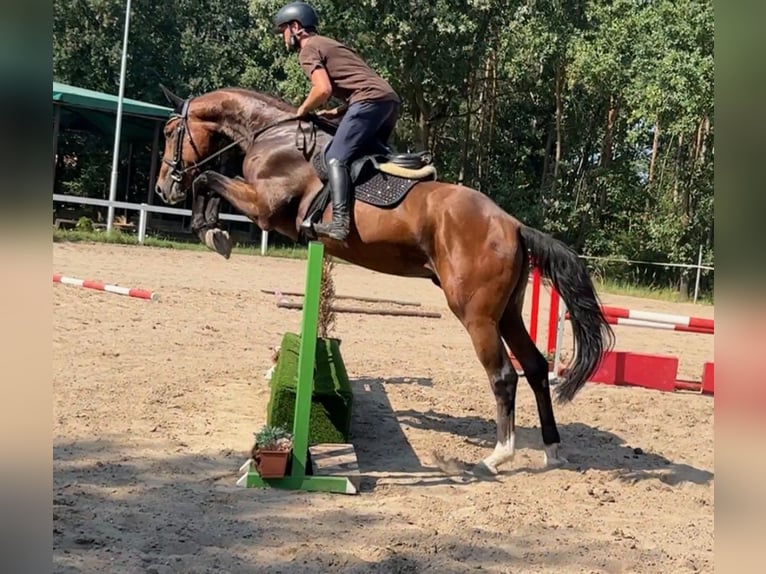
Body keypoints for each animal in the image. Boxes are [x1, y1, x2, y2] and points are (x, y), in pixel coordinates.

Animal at [153, 84, 616, 472]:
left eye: (171, 131)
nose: (162, 190)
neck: (273, 136)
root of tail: (514, 225)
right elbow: (209, 181)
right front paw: (211, 228)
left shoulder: (265, 207)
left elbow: (208, 178)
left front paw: (210, 229)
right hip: (507, 312)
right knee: (535, 367)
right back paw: (552, 449)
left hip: (476, 314)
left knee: (503, 374)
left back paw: (497, 456)